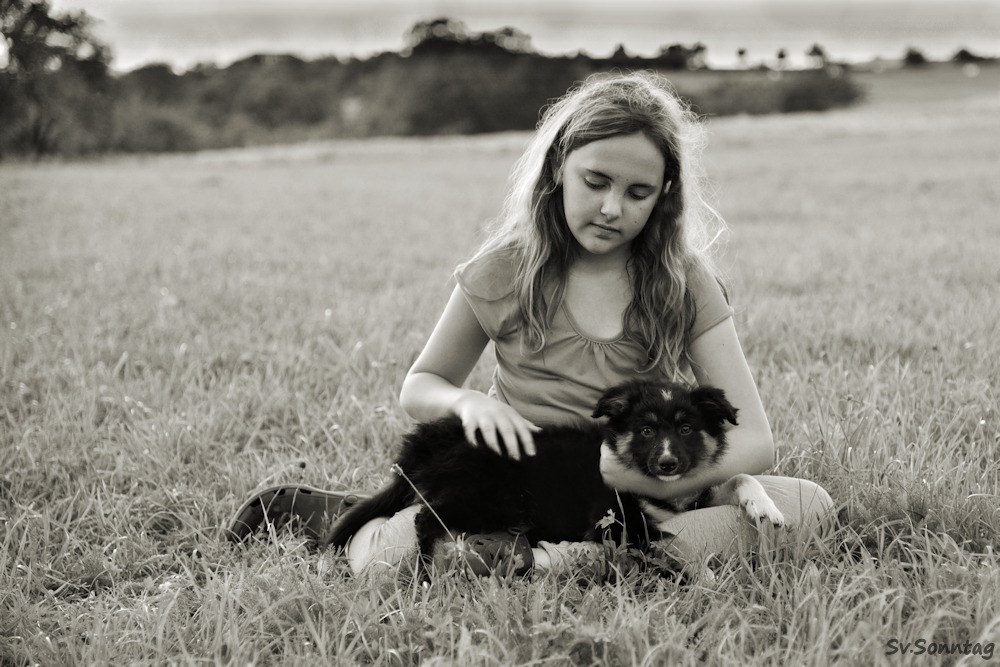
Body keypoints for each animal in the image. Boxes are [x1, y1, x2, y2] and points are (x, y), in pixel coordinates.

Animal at [320, 384, 780, 568]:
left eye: (686, 428)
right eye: (647, 431)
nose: (667, 465)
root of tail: (424, 444)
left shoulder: (692, 492)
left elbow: (739, 477)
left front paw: (765, 506)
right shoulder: (617, 520)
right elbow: (666, 545)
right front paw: (700, 578)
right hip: (484, 491)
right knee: (424, 521)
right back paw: (434, 568)